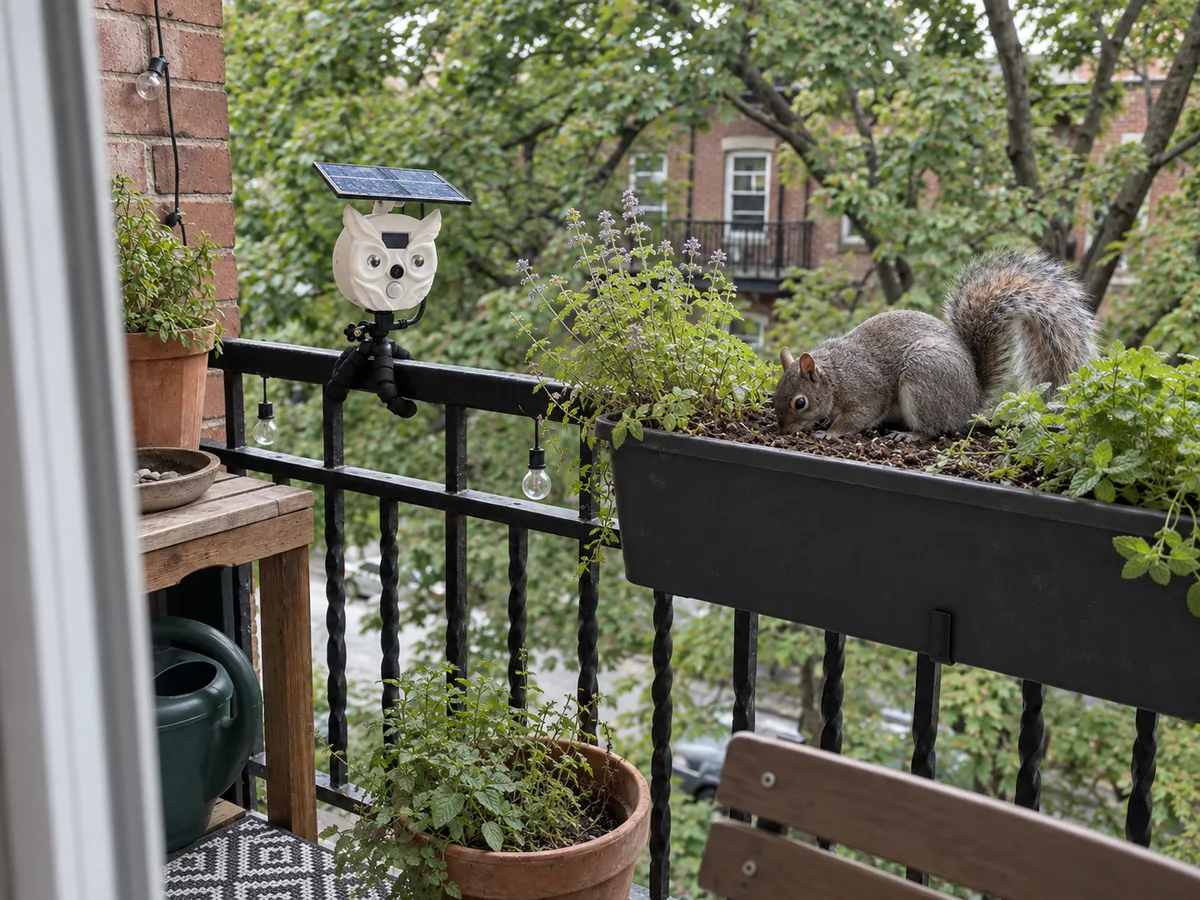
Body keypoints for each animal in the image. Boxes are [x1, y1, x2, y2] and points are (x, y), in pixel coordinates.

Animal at [773, 248, 1098, 441]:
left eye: (799, 402)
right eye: (776, 393)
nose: (784, 430)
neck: (834, 376)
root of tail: (971, 401)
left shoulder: (864, 390)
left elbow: (859, 416)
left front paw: (831, 432)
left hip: (924, 377)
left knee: (933, 428)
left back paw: (911, 435)